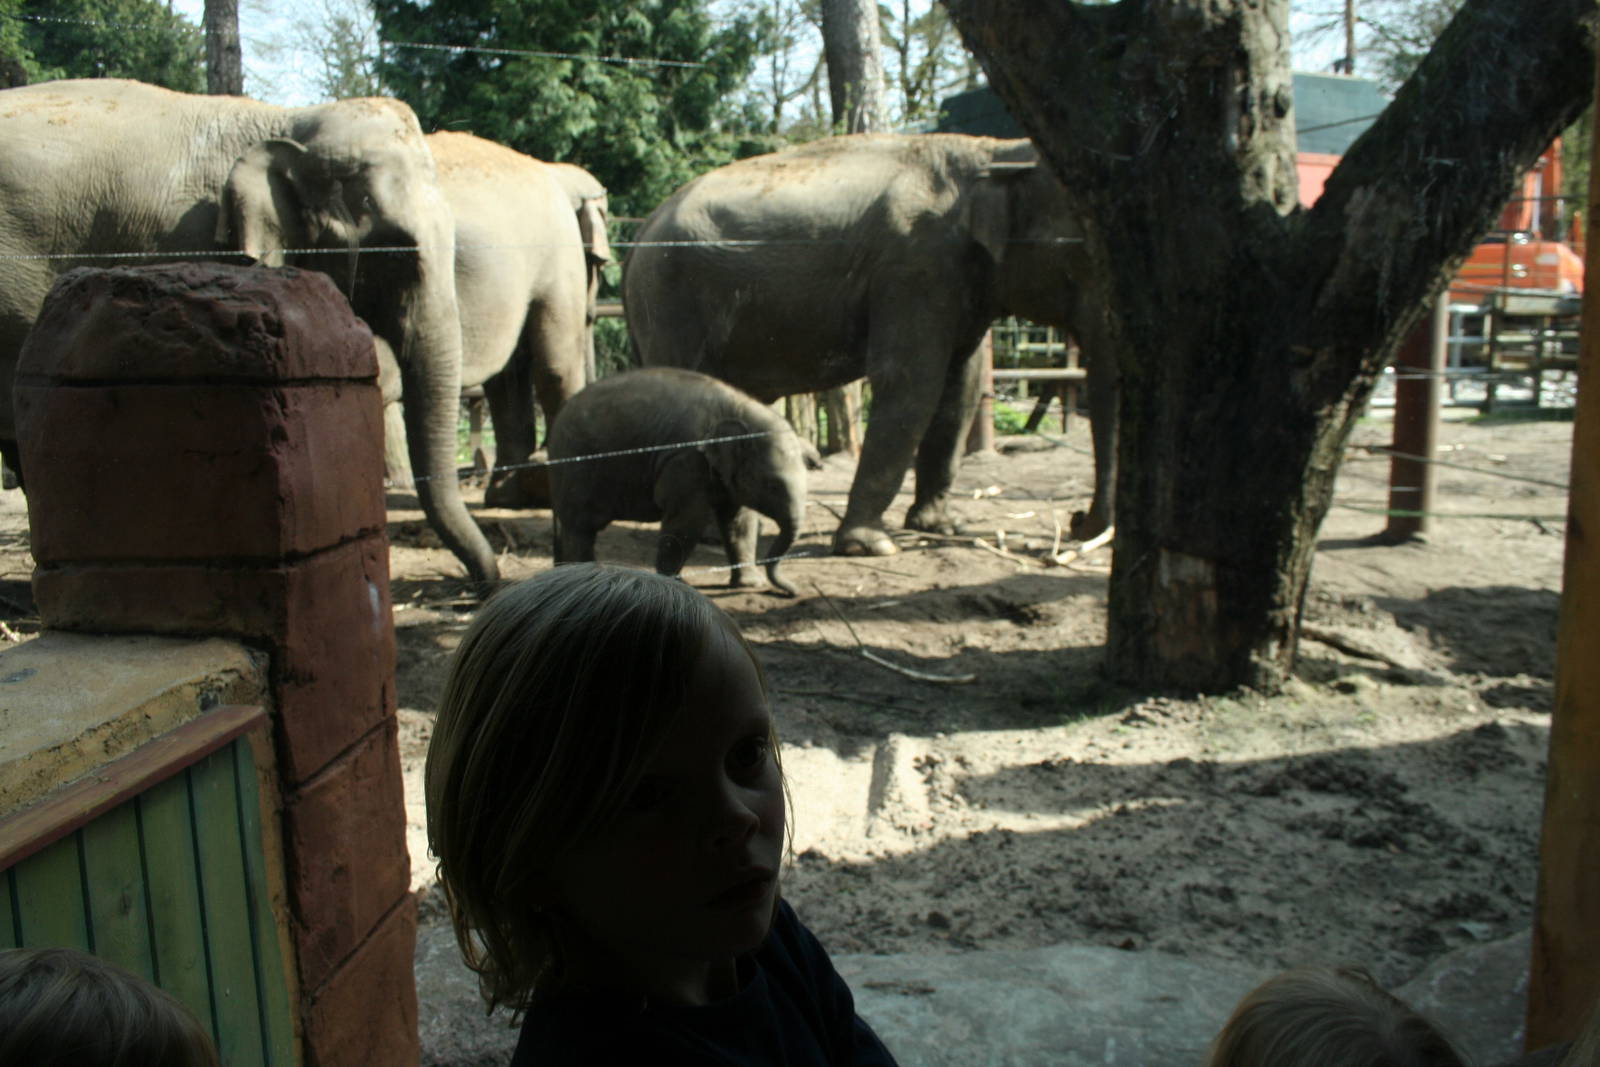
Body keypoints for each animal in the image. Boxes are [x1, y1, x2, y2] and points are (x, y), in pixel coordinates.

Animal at [546, 367, 808, 596]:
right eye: (773, 485)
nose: (792, 592)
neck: (738, 407)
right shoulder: (685, 459)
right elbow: (687, 520)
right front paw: (676, 584)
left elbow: (739, 522)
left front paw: (750, 585)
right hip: (576, 467)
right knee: (580, 528)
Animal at [622, 133, 1112, 557]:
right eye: (1082, 255)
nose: (1076, 522)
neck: (991, 152)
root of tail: (642, 231)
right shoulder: (915, 263)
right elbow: (911, 381)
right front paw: (871, 546)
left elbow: (961, 387)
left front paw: (940, 526)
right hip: (670, 300)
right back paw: (706, 530)